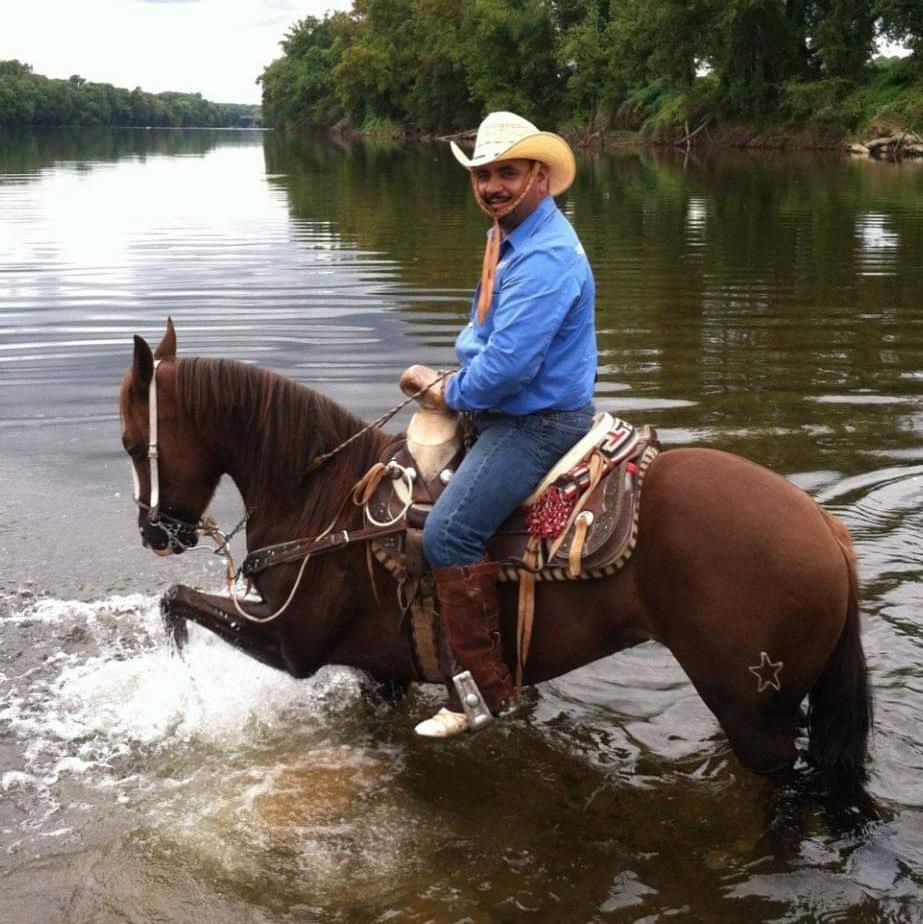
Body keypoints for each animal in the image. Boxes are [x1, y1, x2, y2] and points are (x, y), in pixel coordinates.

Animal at [121, 322, 872, 776]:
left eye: (132, 443)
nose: (154, 534)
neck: (323, 501)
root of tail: (828, 531)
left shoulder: (289, 644)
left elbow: (176, 603)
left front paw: (188, 697)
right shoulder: (381, 674)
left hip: (755, 714)